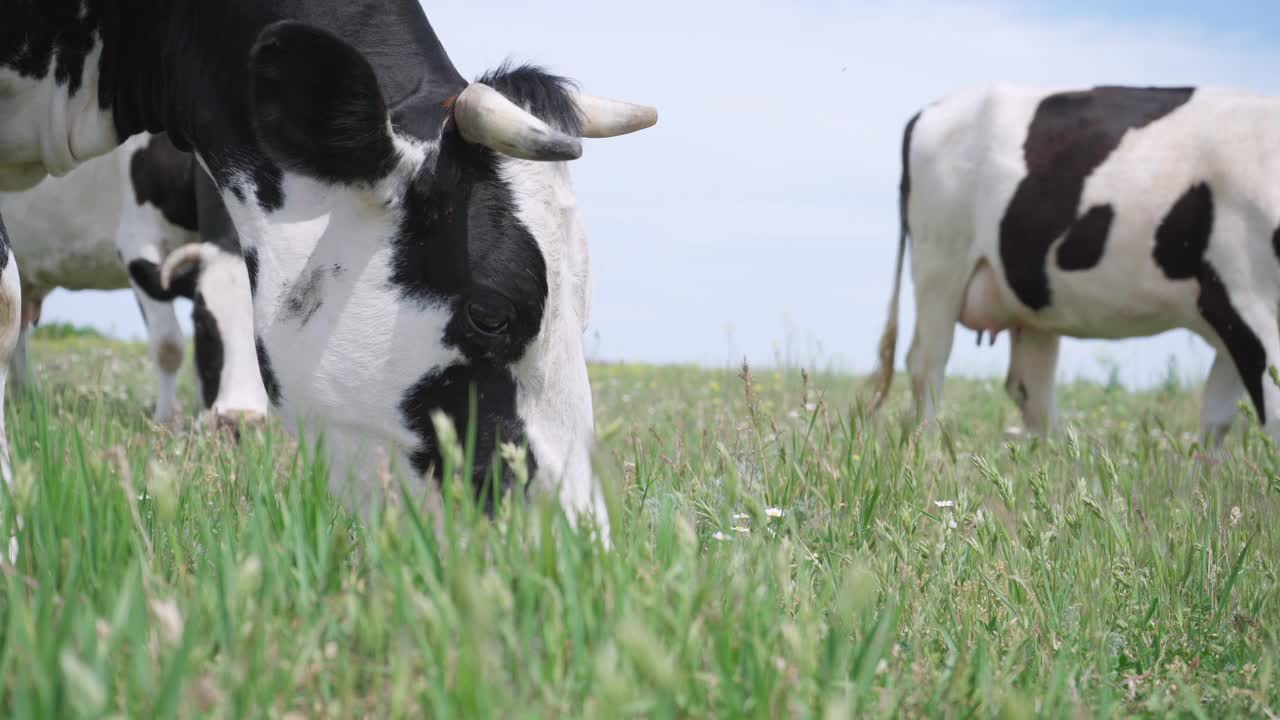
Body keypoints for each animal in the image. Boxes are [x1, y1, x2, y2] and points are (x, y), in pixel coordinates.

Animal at [0, 131, 267, 422]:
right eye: (199, 323)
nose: (242, 417)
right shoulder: (137, 243)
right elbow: (169, 346)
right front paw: (167, 420)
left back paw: (28, 395)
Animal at [865, 82, 1280, 443]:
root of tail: (933, 109)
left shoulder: (1232, 324)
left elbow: (1216, 419)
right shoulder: (1244, 300)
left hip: (1030, 301)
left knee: (1030, 389)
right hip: (940, 267)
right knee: (928, 365)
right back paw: (927, 453)